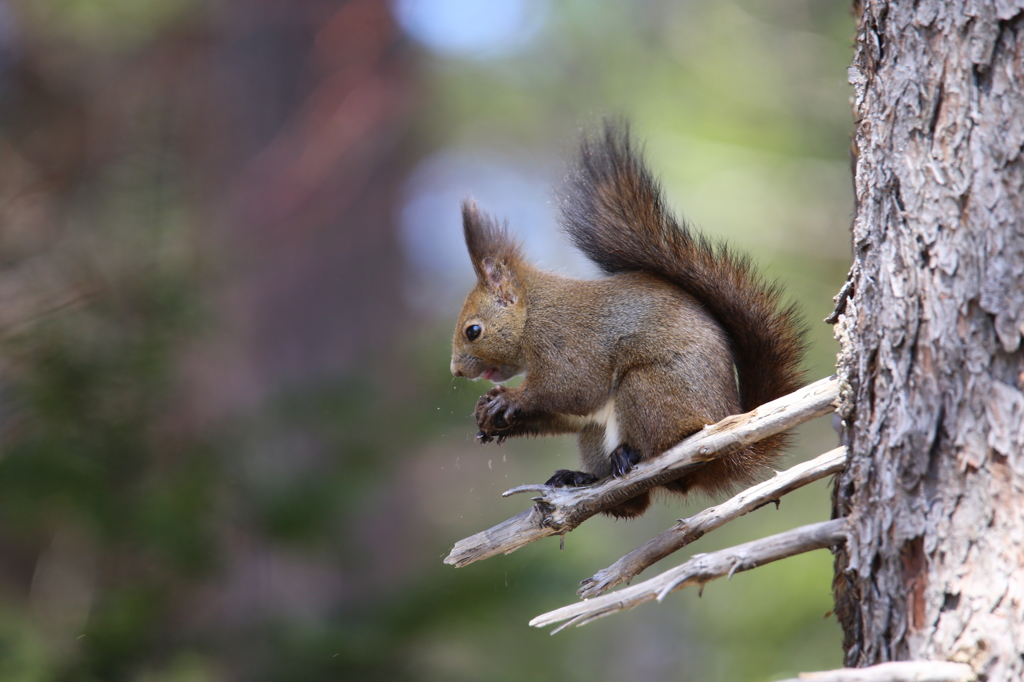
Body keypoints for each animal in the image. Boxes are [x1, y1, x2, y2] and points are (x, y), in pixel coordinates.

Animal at [448, 122, 806, 516]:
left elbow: (574, 388)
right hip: (596, 436)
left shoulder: (567, 342)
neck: (533, 315)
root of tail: (728, 449)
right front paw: (491, 417)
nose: (456, 370)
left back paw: (631, 455)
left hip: (649, 392)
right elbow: (569, 411)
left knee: (656, 445)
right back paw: (581, 479)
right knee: (632, 503)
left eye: (473, 331)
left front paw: (507, 400)